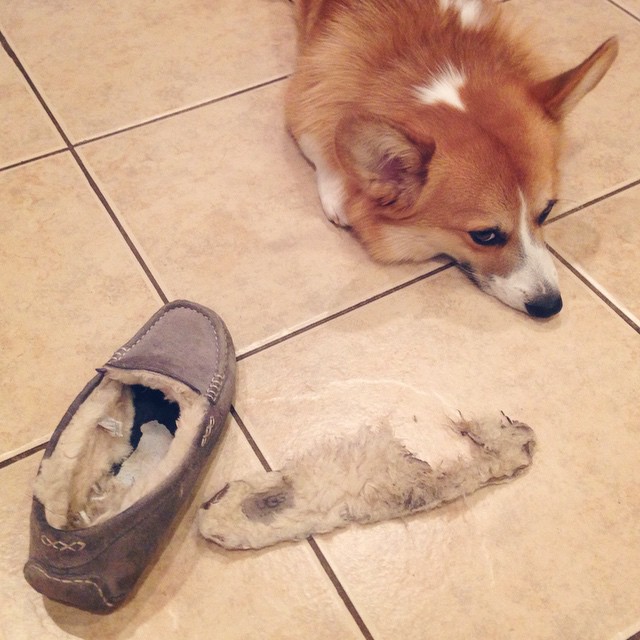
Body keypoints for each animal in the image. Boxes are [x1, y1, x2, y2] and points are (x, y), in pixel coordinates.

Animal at [288, 0, 616, 318]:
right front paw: (337, 192)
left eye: (546, 211)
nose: (549, 306)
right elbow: (320, 142)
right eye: (484, 235)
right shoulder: (303, 99)